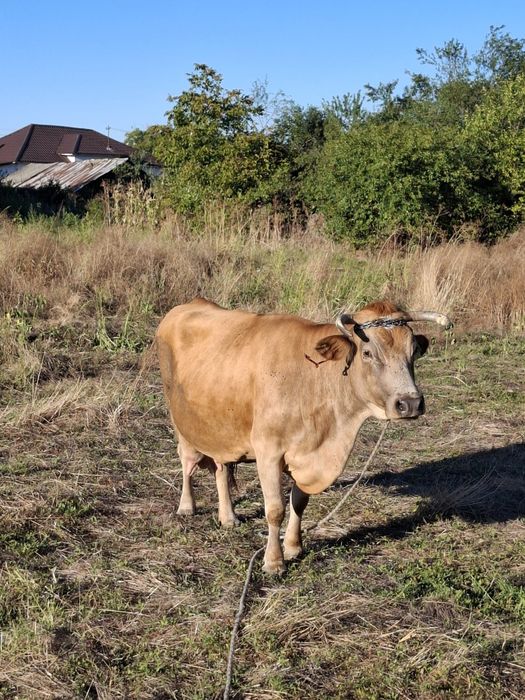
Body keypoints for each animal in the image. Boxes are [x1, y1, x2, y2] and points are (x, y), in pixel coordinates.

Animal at [156, 298, 451, 574]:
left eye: (413, 351)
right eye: (368, 352)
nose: (410, 403)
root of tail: (186, 306)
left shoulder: (307, 454)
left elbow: (299, 502)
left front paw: (293, 547)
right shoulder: (268, 452)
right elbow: (275, 510)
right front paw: (274, 561)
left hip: (220, 426)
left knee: (221, 466)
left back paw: (228, 516)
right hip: (180, 419)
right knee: (187, 460)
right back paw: (187, 506)